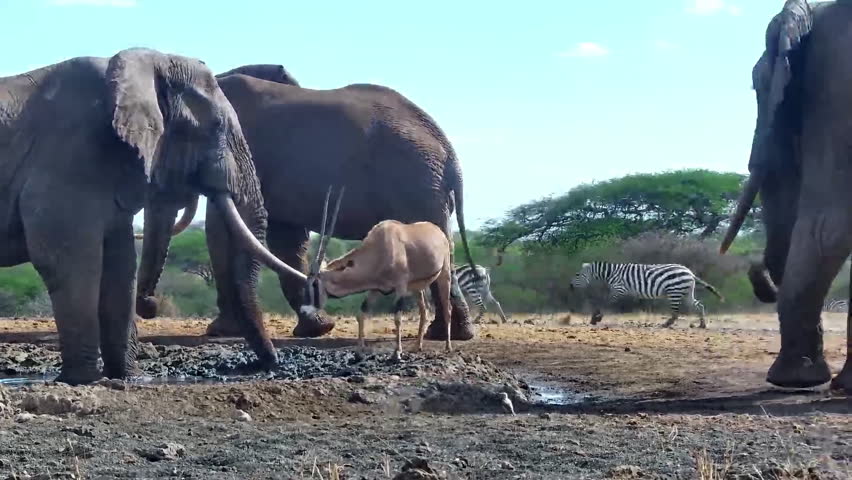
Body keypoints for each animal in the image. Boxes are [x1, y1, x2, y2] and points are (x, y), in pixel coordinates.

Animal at [0, 48, 307, 385]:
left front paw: (129, 378)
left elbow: (121, 266)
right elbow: (66, 262)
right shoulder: (71, 156)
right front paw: (83, 380)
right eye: (216, 126)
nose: (267, 365)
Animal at [136, 65, 481, 341]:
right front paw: (316, 328)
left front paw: (221, 331)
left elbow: (222, 233)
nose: (150, 306)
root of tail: (450, 154)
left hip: (415, 183)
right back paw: (453, 334)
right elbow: (285, 239)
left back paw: (446, 334)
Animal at [569, 262, 724, 328]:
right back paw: (702, 325)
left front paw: (596, 318)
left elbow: (605, 302)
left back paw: (666, 324)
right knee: (699, 305)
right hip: (686, 292)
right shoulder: (618, 290)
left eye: (577, 274)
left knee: (675, 312)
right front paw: (595, 317)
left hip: (675, 291)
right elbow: (604, 302)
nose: (570, 286)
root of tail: (690, 273)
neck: (611, 274)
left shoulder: (618, 289)